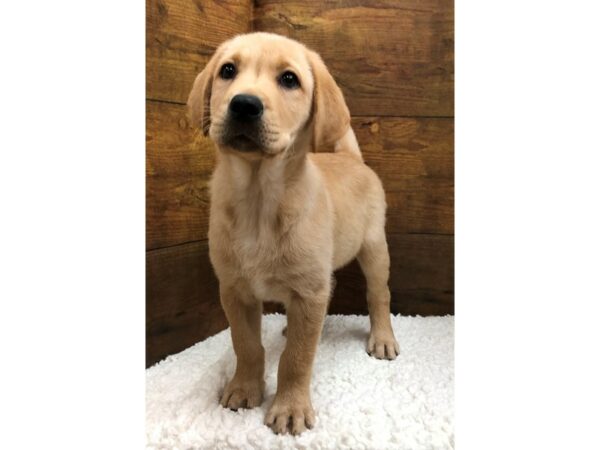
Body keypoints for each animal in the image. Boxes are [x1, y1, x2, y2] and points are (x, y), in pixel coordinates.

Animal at [188, 32, 398, 436]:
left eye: (289, 79)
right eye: (228, 70)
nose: (244, 104)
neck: (259, 200)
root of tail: (350, 158)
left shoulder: (309, 291)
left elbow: (297, 358)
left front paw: (289, 408)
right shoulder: (234, 290)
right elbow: (246, 345)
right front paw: (244, 388)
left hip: (374, 249)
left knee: (378, 295)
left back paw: (383, 338)